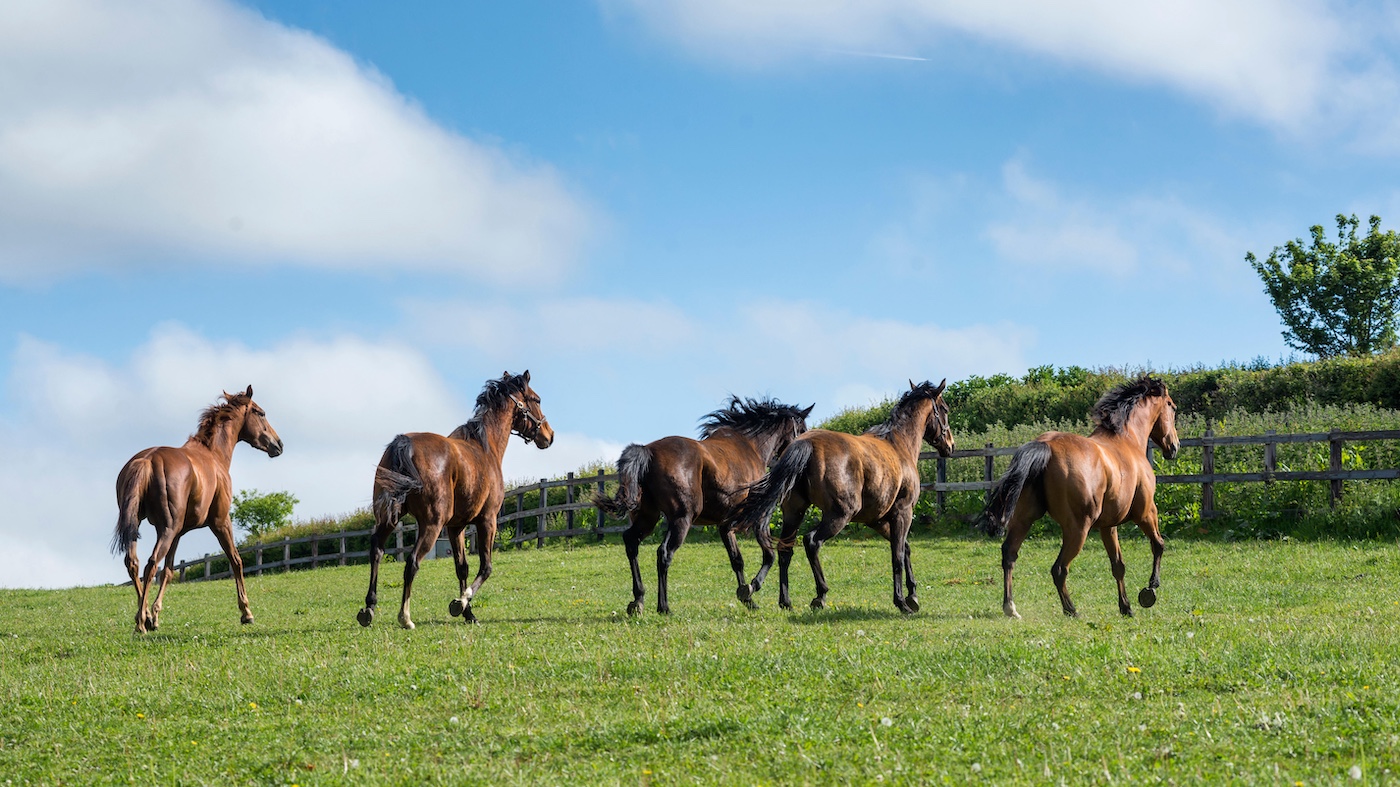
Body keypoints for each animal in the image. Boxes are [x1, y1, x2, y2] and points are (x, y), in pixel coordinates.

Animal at [112, 386, 284, 634]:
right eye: (261, 413)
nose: (278, 444)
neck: (213, 454)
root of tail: (147, 460)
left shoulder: (178, 533)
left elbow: (169, 570)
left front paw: (155, 615)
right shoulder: (221, 521)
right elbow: (236, 560)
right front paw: (246, 612)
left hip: (143, 526)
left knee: (134, 563)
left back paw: (144, 616)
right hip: (167, 529)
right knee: (150, 565)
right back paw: (140, 624)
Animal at [358, 371, 553, 629]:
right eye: (537, 399)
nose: (549, 435)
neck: (485, 446)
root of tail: (404, 444)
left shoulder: (456, 527)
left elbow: (462, 568)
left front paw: (468, 613)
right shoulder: (487, 521)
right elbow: (485, 567)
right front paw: (460, 603)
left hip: (389, 518)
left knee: (377, 552)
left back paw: (369, 609)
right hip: (431, 525)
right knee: (412, 562)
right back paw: (405, 617)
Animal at [593, 397, 813, 615]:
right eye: (802, 429)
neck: (750, 445)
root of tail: (648, 452)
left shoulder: (726, 524)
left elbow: (737, 559)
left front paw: (747, 598)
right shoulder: (757, 517)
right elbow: (769, 555)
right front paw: (752, 587)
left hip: (648, 518)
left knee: (631, 542)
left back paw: (638, 600)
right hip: (681, 519)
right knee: (664, 554)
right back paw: (664, 607)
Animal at [732, 380, 954, 614]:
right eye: (945, 409)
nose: (950, 445)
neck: (898, 444)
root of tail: (806, 444)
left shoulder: (877, 520)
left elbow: (906, 548)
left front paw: (913, 595)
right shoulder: (903, 512)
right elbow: (898, 556)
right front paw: (902, 602)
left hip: (795, 512)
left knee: (786, 549)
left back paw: (784, 600)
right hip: (839, 515)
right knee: (811, 542)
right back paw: (819, 595)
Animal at [982, 375, 1179, 619]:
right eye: (1172, 407)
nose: (1174, 447)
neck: (1127, 440)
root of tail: (1046, 446)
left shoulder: (1108, 526)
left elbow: (1118, 565)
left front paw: (1126, 607)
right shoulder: (1146, 513)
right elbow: (1158, 545)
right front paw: (1150, 590)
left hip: (1024, 520)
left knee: (1009, 555)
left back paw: (1011, 608)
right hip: (1078, 529)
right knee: (1059, 568)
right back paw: (1071, 609)